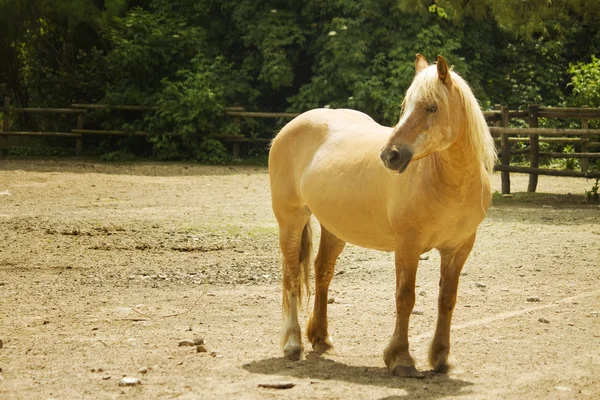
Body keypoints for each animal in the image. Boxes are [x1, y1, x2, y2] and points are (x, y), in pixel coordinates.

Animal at [268, 54, 496, 378]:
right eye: (405, 106)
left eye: (432, 107)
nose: (390, 155)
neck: (448, 181)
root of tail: (292, 126)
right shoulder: (408, 246)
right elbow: (405, 297)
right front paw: (400, 357)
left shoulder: (459, 248)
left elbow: (446, 300)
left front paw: (442, 358)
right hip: (290, 220)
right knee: (290, 274)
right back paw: (292, 344)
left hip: (335, 228)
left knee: (322, 271)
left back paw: (321, 337)